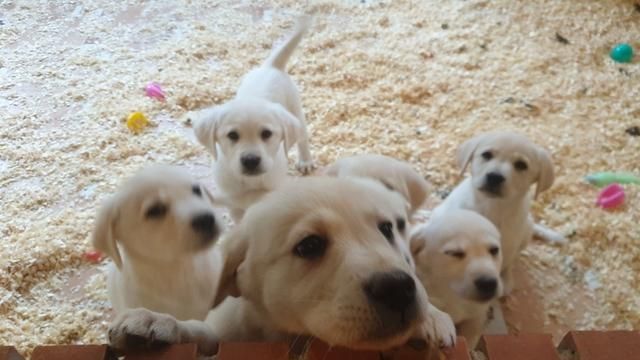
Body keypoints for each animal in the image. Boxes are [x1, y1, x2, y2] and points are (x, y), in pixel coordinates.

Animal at [106, 176, 456, 356]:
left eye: (387, 229)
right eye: (310, 245)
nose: (398, 288)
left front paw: (432, 319)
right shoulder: (224, 333)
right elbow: (200, 330)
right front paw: (155, 322)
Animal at [194, 16, 316, 222]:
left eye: (266, 134)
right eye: (232, 135)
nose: (250, 160)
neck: (250, 183)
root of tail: (271, 66)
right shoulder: (233, 203)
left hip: (296, 110)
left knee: (302, 139)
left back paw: (305, 161)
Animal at [412, 208, 502, 348]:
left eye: (494, 250)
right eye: (454, 253)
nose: (488, 283)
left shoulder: (476, 317)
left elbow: (470, 338)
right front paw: (437, 321)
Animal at [436, 131, 564, 294]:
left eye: (521, 165)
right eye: (486, 155)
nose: (494, 177)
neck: (491, 206)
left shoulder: (506, 247)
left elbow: (501, 269)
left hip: (525, 234)